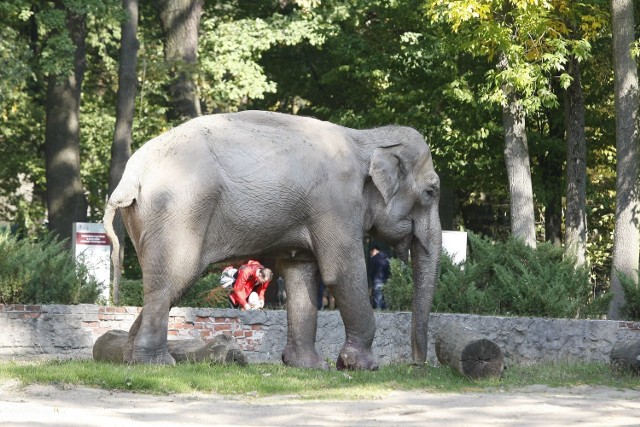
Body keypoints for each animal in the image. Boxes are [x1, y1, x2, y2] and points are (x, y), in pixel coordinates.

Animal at [102, 110, 440, 372]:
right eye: (431, 192)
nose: (418, 365)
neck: (366, 138)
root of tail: (129, 177)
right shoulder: (336, 204)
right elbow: (341, 273)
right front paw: (363, 367)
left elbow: (300, 273)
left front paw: (308, 367)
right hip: (176, 213)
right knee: (172, 282)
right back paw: (155, 364)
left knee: (165, 287)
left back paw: (125, 357)